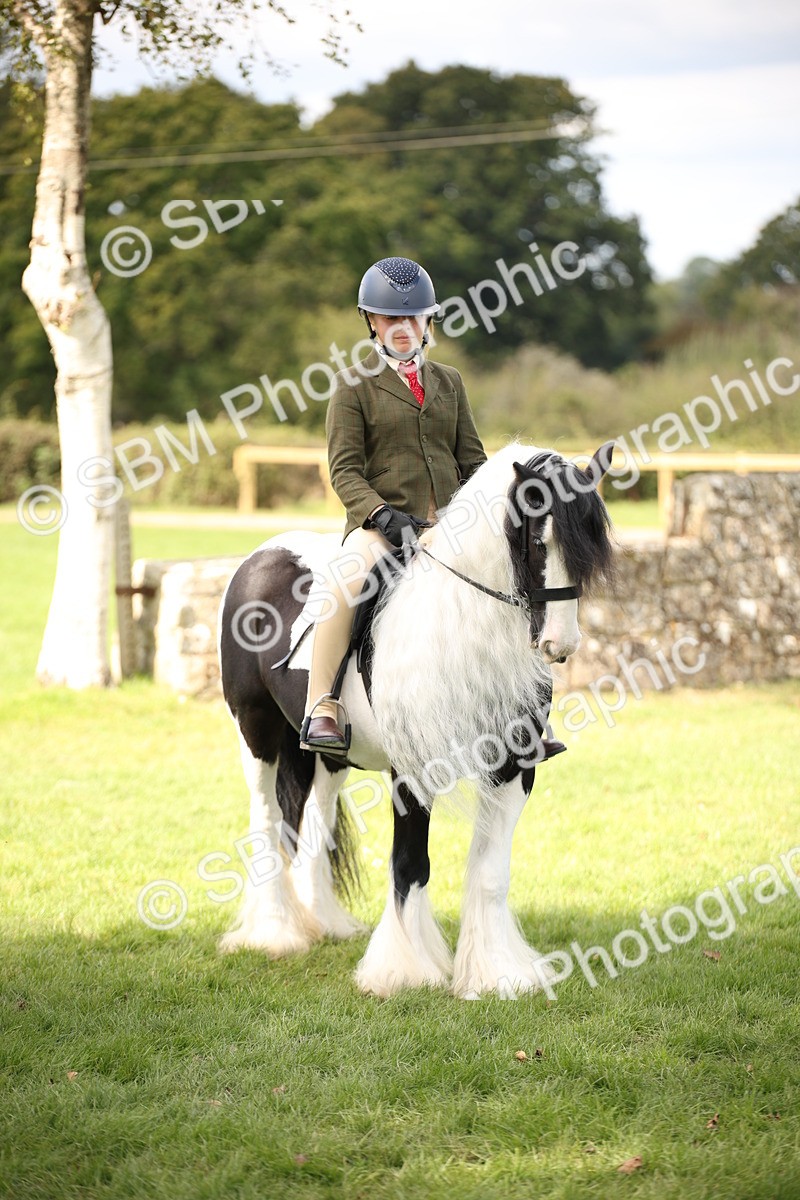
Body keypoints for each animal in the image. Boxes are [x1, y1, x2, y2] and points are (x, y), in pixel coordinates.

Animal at [217, 440, 616, 998]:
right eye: (537, 541)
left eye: (589, 544)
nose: (560, 643)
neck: (460, 625)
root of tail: (262, 556)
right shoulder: (412, 770)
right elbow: (410, 865)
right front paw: (403, 971)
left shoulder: (514, 768)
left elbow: (490, 873)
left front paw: (497, 975)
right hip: (257, 732)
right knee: (266, 817)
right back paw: (274, 934)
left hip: (327, 755)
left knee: (315, 821)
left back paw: (325, 924)